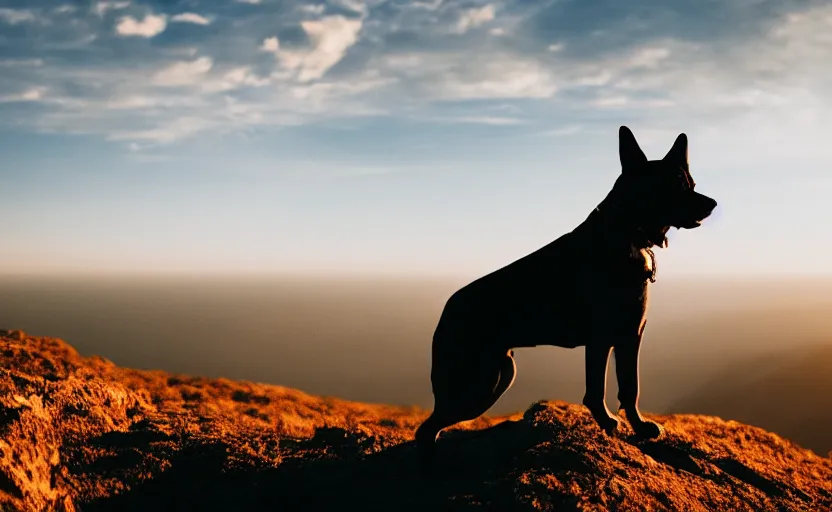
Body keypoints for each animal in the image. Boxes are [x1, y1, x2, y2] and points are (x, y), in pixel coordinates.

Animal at [414, 126, 716, 474]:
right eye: (676, 185)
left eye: (692, 184)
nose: (713, 204)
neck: (626, 230)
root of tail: (444, 315)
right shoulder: (608, 338)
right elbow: (607, 390)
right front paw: (624, 426)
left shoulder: (626, 337)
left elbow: (624, 388)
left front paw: (631, 426)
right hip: (479, 384)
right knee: (427, 428)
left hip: (500, 374)